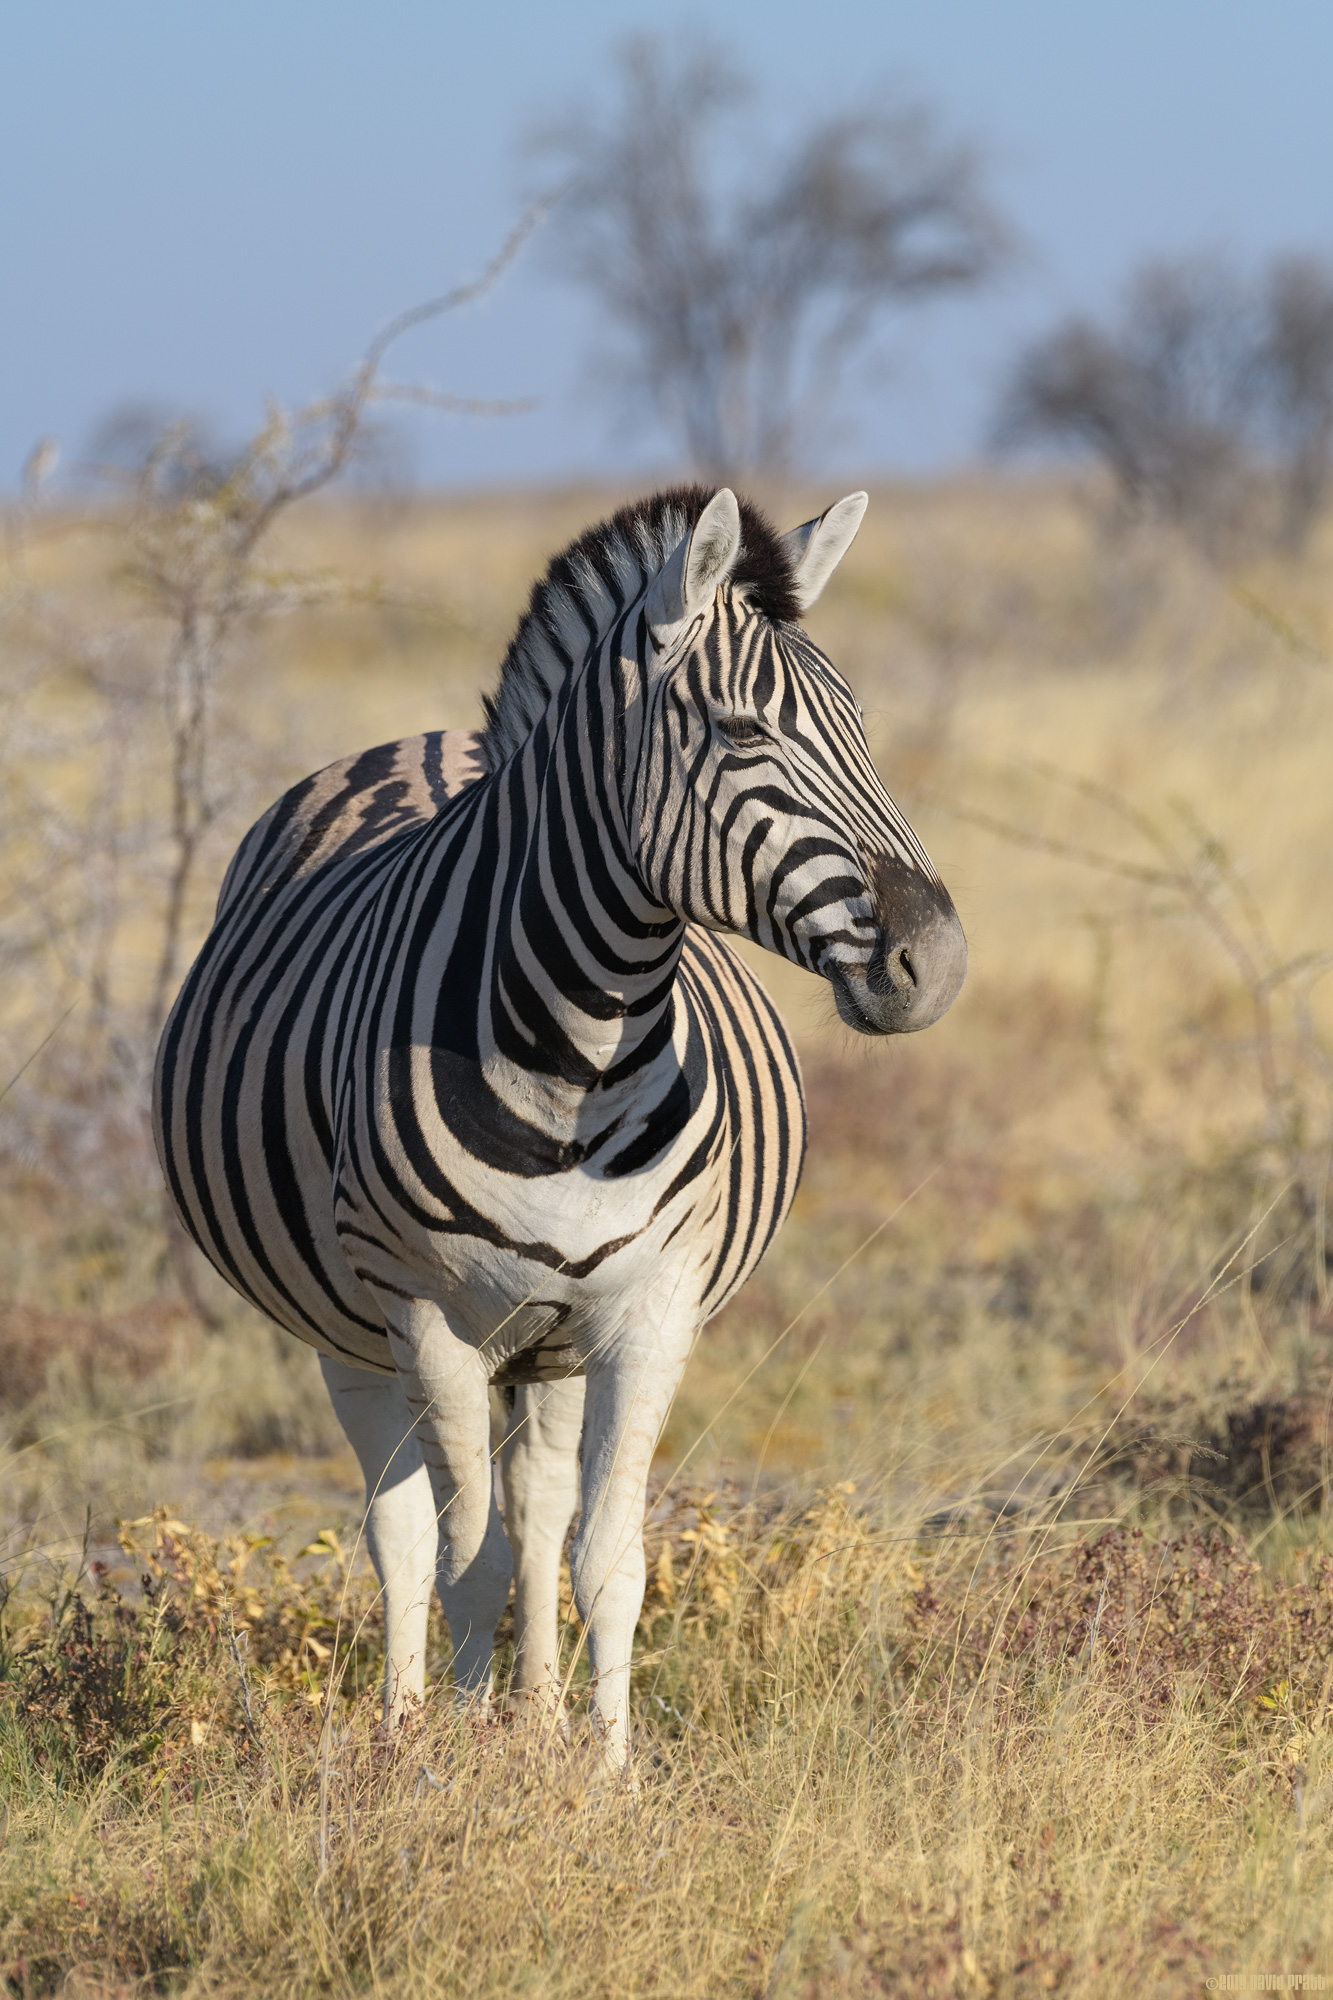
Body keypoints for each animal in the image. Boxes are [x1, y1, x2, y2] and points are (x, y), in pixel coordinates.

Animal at [154, 484, 967, 1767]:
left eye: (862, 728)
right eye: (740, 734)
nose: (935, 964)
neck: (574, 1045)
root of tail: (433, 736)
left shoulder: (648, 1311)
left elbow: (605, 1559)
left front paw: (604, 1772)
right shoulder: (427, 1315)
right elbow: (462, 1563)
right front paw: (451, 1774)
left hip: (549, 1337)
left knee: (536, 1507)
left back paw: (532, 1717)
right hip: (352, 1329)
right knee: (407, 1534)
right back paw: (412, 1727)